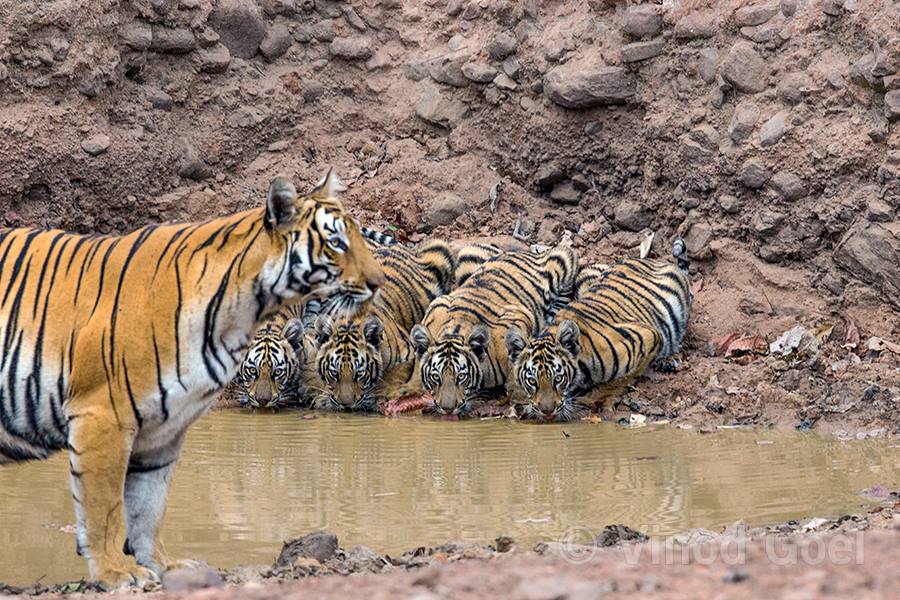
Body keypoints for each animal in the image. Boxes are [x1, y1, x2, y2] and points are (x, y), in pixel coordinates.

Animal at [0, 171, 384, 588]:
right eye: (336, 243)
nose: (379, 281)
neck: (240, 312)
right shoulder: (102, 415)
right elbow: (105, 508)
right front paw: (115, 572)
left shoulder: (163, 432)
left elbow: (147, 509)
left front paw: (164, 566)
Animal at [316, 239, 458, 412]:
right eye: (334, 373)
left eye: (359, 374)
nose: (346, 405)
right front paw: (323, 398)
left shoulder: (407, 352)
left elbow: (394, 373)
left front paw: (382, 394)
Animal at [410, 244, 576, 418]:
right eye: (436, 377)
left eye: (461, 377)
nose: (448, 409)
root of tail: (515, 252)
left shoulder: (519, 315)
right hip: (467, 254)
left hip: (561, 259)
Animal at [506, 239, 688, 422]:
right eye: (532, 381)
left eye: (558, 379)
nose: (547, 411)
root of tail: (651, 260)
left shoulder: (648, 337)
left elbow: (620, 379)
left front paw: (595, 398)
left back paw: (670, 359)